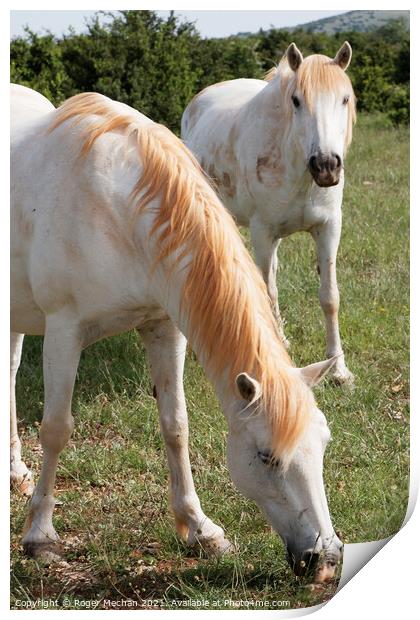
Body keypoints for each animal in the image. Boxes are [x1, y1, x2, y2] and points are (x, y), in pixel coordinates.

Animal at [11, 85, 342, 580]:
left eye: (322, 443)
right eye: (267, 456)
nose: (325, 558)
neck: (117, 208)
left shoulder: (163, 326)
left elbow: (176, 425)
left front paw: (201, 529)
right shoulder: (63, 331)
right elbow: (55, 429)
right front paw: (40, 537)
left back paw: (14, 471)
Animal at [182, 42, 356, 382]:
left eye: (344, 99)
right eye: (296, 101)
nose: (326, 165)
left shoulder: (329, 227)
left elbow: (330, 297)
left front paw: (339, 369)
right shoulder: (262, 232)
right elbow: (267, 292)